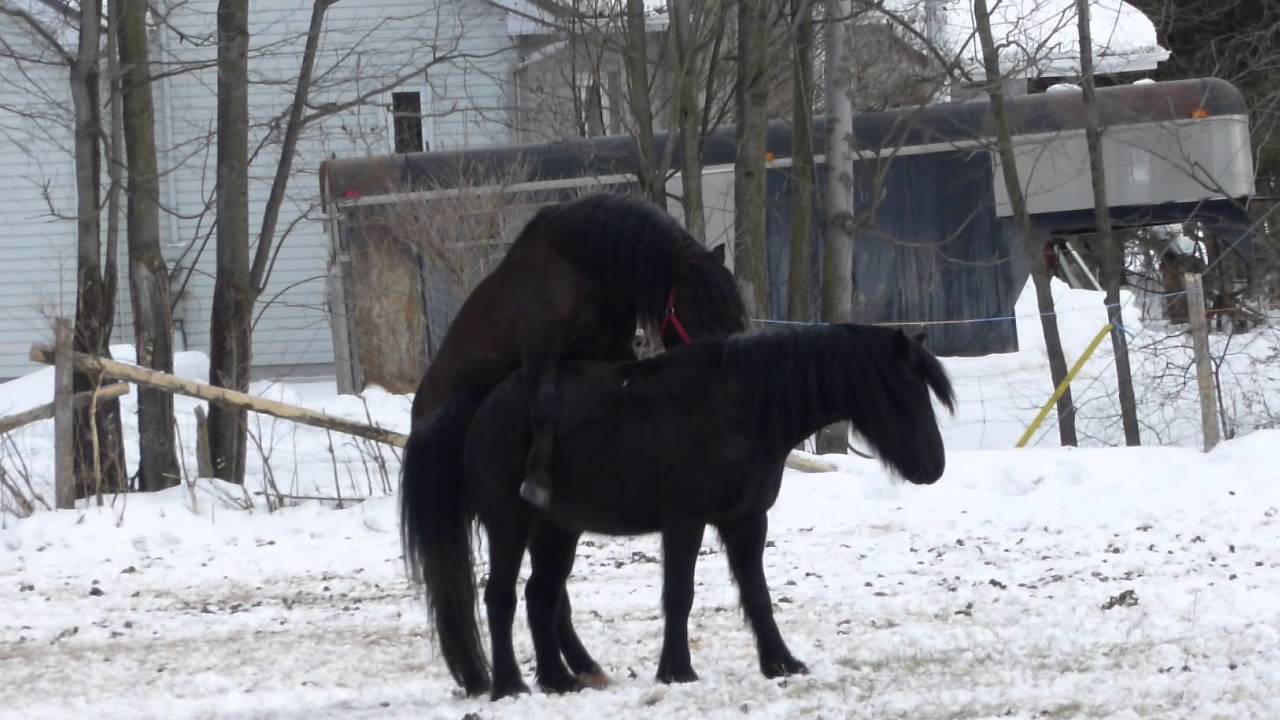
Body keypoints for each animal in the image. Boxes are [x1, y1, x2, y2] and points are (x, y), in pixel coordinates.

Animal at [400, 323, 956, 700]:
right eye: (900, 392)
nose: (934, 467)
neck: (742, 408)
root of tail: (481, 403)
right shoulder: (685, 522)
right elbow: (680, 595)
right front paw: (677, 670)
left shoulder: (747, 521)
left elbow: (758, 596)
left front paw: (780, 663)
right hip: (509, 526)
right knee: (501, 597)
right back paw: (511, 685)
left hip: (557, 531)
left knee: (543, 597)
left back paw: (560, 680)